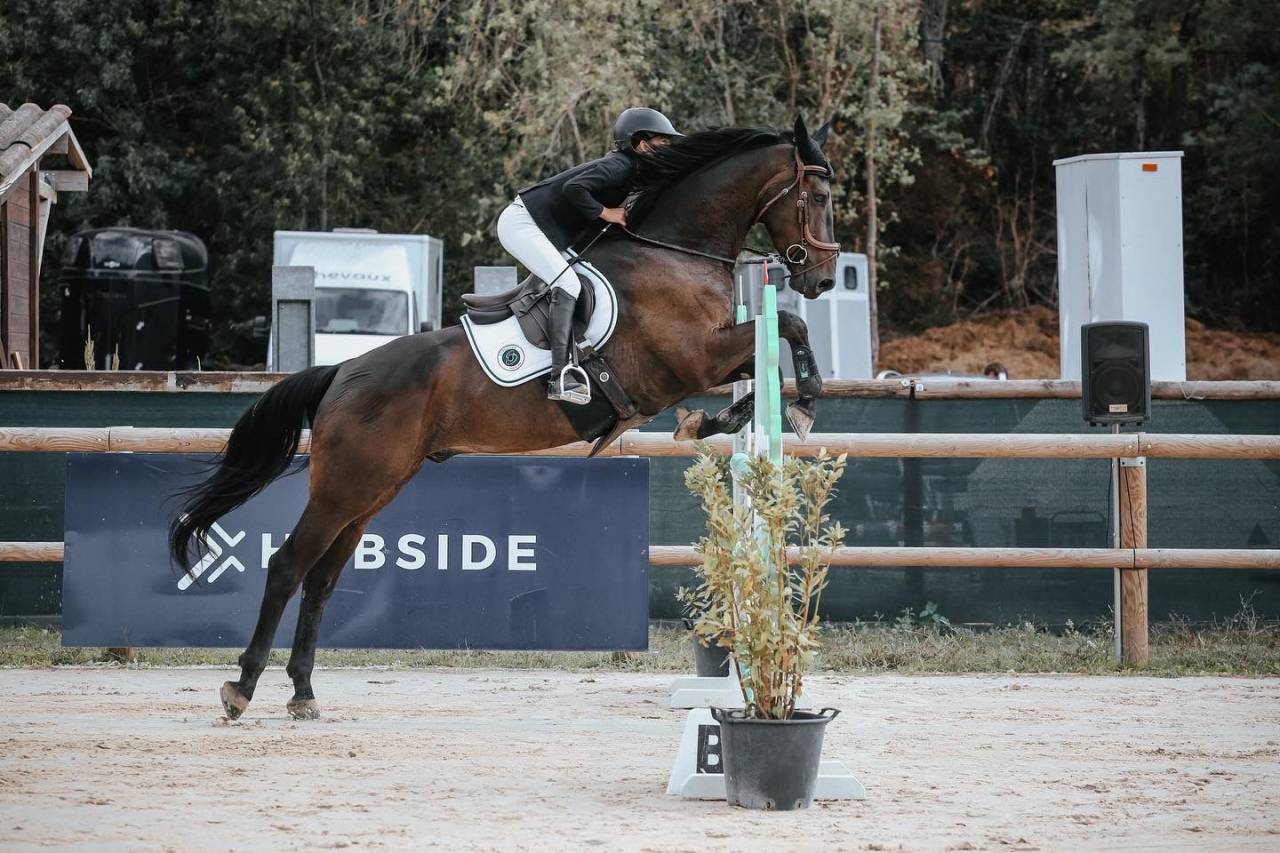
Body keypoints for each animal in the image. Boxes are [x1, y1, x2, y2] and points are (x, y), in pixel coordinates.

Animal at [171, 117, 841, 720]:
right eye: (819, 197)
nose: (824, 278)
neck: (674, 253)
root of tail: (343, 372)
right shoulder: (690, 359)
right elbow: (788, 330)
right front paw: (800, 403)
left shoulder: (708, 360)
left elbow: (767, 361)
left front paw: (717, 421)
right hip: (345, 487)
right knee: (288, 566)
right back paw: (241, 690)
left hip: (371, 491)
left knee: (321, 579)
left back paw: (304, 693)